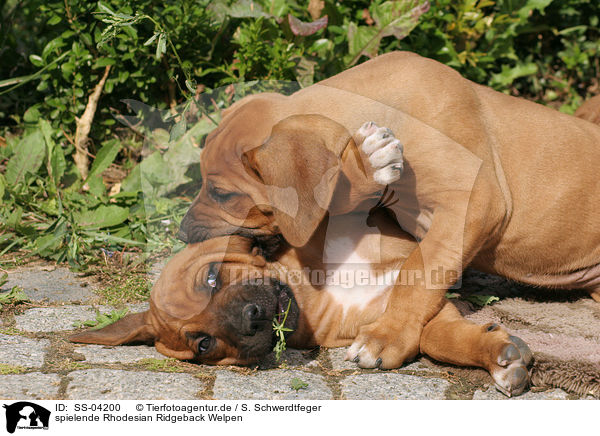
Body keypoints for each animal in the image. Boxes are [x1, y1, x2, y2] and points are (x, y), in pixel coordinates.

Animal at [71, 211, 536, 398]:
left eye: (212, 277)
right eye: (203, 345)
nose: (253, 319)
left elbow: (430, 326)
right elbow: (431, 338)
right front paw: (500, 354)